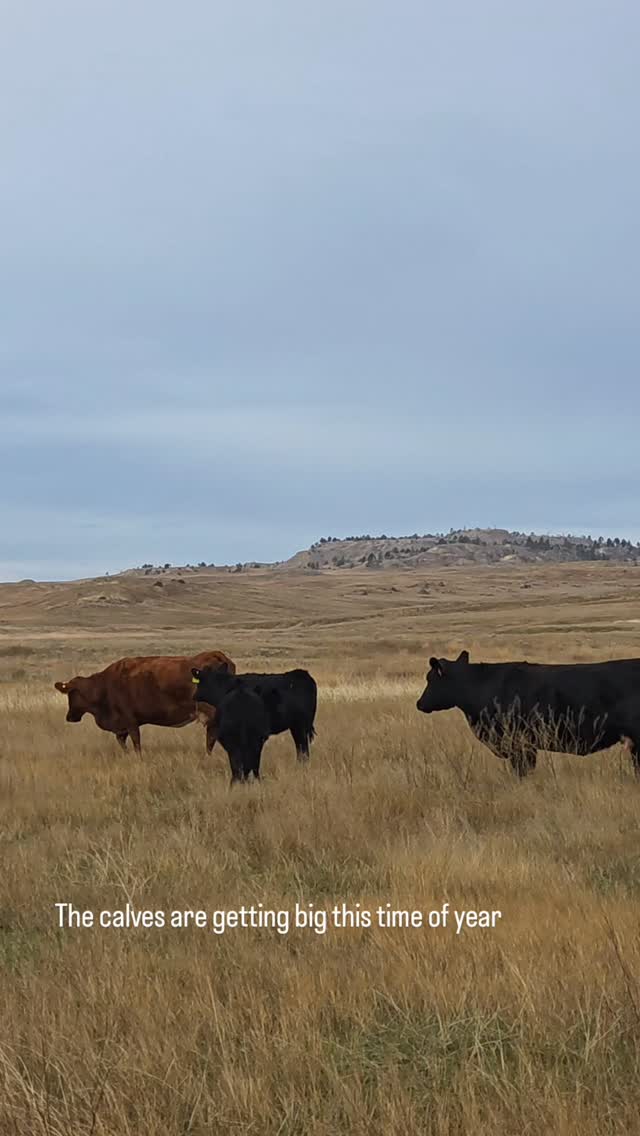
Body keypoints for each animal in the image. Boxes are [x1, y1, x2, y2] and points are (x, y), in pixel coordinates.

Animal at [54, 650, 235, 754]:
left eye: (71, 693)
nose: (69, 717)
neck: (104, 686)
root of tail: (216, 655)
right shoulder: (122, 726)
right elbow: (122, 743)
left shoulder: (130, 721)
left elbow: (135, 743)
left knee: (211, 737)